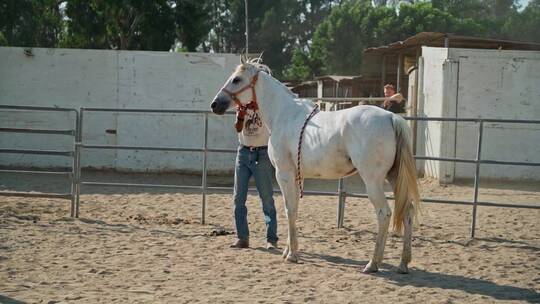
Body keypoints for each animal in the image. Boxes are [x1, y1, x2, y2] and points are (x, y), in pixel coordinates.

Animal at [212, 57, 422, 274]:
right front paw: (288, 250)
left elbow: (289, 209)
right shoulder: (297, 175)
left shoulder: (284, 174)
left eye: (236, 79)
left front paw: (292, 255)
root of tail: (391, 117)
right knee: (408, 211)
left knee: (384, 214)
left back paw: (372, 264)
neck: (283, 113)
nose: (215, 104)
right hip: (394, 177)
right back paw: (403, 264)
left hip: (373, 181)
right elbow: (294, 210)